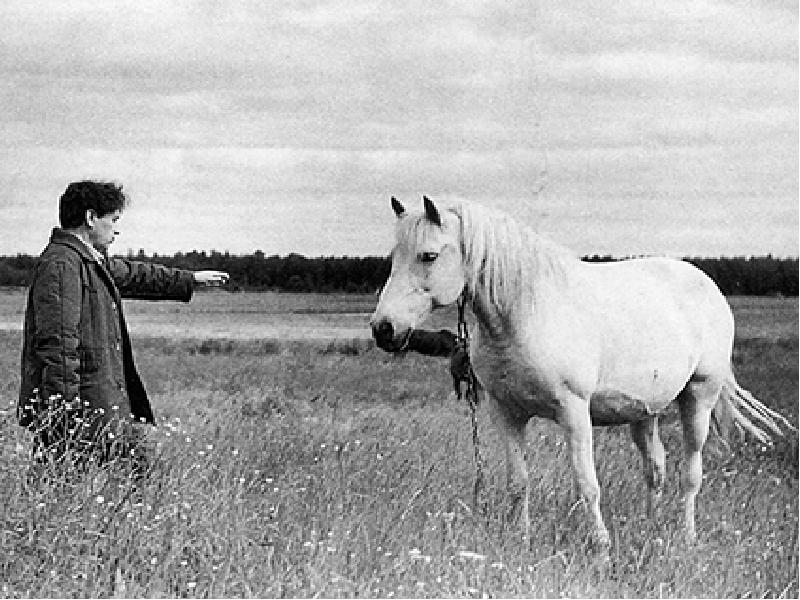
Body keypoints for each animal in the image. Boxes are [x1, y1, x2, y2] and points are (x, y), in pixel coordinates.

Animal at [370, 197, 792, 548]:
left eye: (427, 255)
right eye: (394, 257)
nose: (383, 329)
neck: (526, 312)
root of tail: (708, 285)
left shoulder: (574, 413)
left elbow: (587, 484)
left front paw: (600, 548)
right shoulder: (506, 414)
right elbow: (518, 483)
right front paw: (521, 541)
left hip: (699, 397)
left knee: (691, 472)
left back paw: (685, 536)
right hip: (645, 412)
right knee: (655, 468)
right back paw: (651, 529)